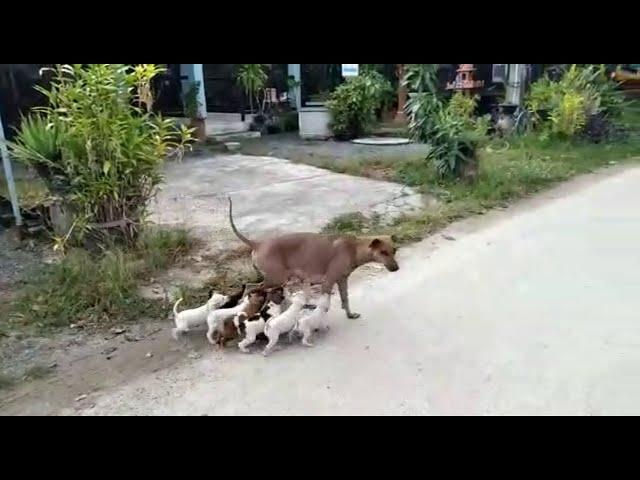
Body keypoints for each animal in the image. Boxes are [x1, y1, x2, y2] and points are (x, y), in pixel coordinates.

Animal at [229, 197, 400, 320]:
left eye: (394, 251)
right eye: (383, 252)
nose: (396, 268)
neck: (354, 248)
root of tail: (258, 244)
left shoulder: (342, 280)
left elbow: (345, 300)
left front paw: (350, 315)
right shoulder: (328, 282)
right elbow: (324, 306)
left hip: (275, 280)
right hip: (275, 279)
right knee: (249, 287)